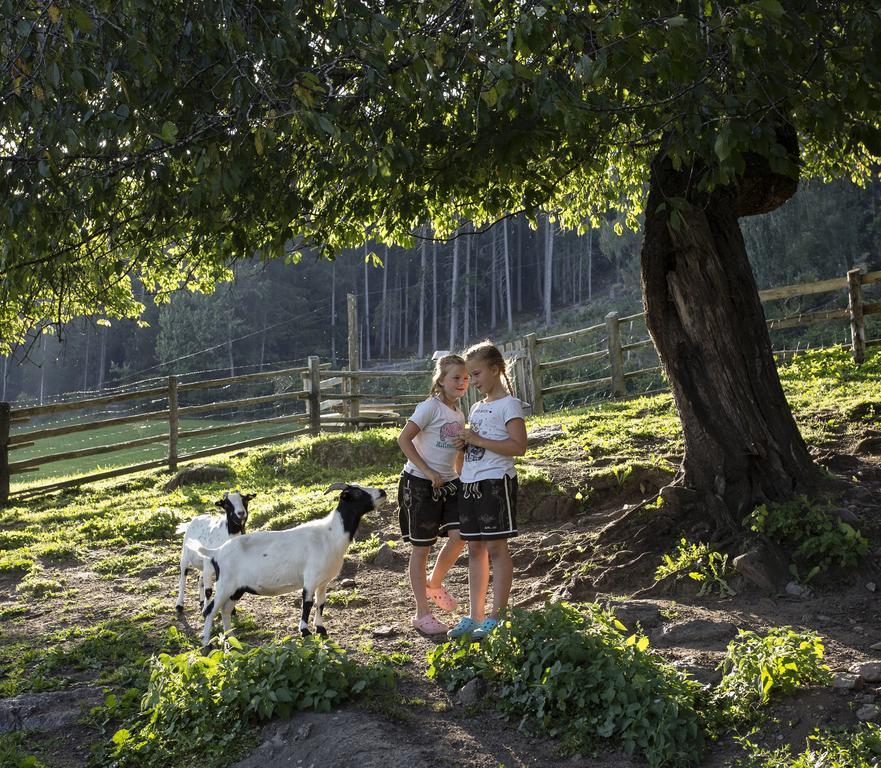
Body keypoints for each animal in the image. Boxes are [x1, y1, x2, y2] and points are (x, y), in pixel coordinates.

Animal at [187, 484, 384, 644]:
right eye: (356, 492)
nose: (382, 492)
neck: (330, 534)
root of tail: (216, 552)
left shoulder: (323, 581)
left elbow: (321, 603)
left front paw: (321, 629)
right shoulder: (310, 578)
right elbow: (307, 603)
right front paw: (305, 632)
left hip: (237, 589)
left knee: (225, 610)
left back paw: (232, 638)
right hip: (225, 585)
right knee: (210, 610)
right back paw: (206, 642)